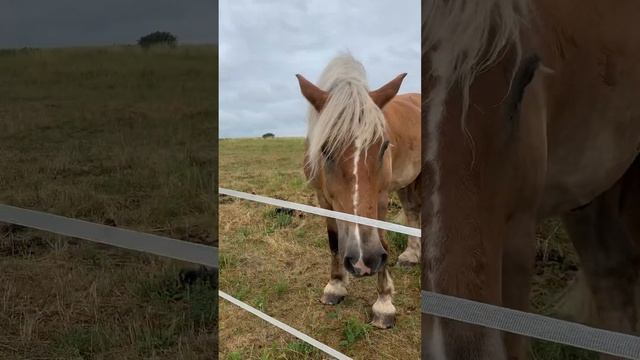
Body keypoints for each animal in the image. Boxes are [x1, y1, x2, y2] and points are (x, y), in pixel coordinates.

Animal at [294, 54, 420, 330]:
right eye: (325, 149)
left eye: (384, 145)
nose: (364, 260)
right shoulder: (324, 199)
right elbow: (333, 241)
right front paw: (335, 286)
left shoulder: (381, 198)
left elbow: (383, 239)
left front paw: (384, 303)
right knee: (412, 210)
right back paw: (411, 255)